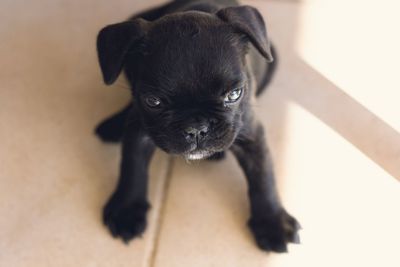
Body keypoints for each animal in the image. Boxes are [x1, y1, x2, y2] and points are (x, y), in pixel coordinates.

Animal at [95, 0, 298, 253]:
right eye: (153, 101)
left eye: (234, 94)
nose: (197, 128)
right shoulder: (139, 130)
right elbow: (132, 167)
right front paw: (127, 210)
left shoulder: (252, 135)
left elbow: (263, 176)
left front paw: (272, 223)